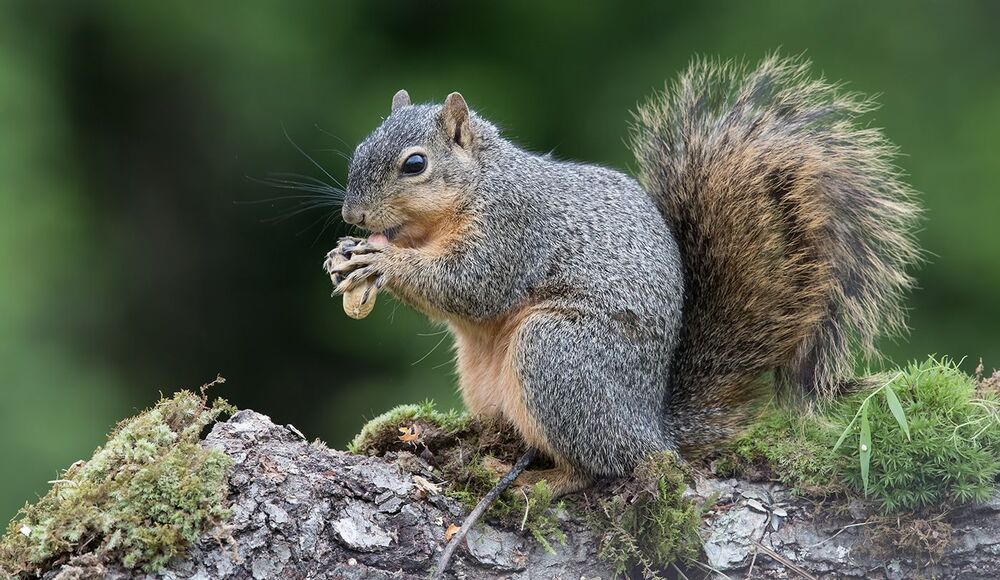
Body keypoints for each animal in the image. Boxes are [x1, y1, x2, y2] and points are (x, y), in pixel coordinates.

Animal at [325, 55, 921, 497]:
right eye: (359, 148)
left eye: (415, 165)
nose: (354, 215)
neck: (478, 184)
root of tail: (652, 427)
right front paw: (344, 255)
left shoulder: (514, 229)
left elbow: (473, 284)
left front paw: (382, 262)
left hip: (557, 355)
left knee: (598, 466)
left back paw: (540, 481)